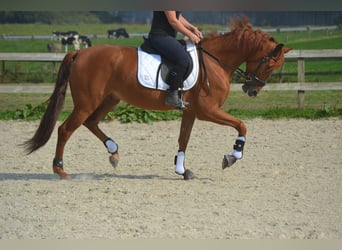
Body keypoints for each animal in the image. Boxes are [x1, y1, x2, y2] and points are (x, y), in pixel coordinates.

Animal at [24, 19, 292, 180]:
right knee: (65, 129)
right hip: (87, 102)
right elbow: (242, 125)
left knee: (91, 123)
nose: (252, 90)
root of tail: (80, 52)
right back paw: (60, 170)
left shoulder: (191, 111)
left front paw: (182, 170)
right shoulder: (207, 110)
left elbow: (184, 138)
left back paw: (114, 152)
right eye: (271, 65)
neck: (216, 60)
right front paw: (232, 157)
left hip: (110, 99)